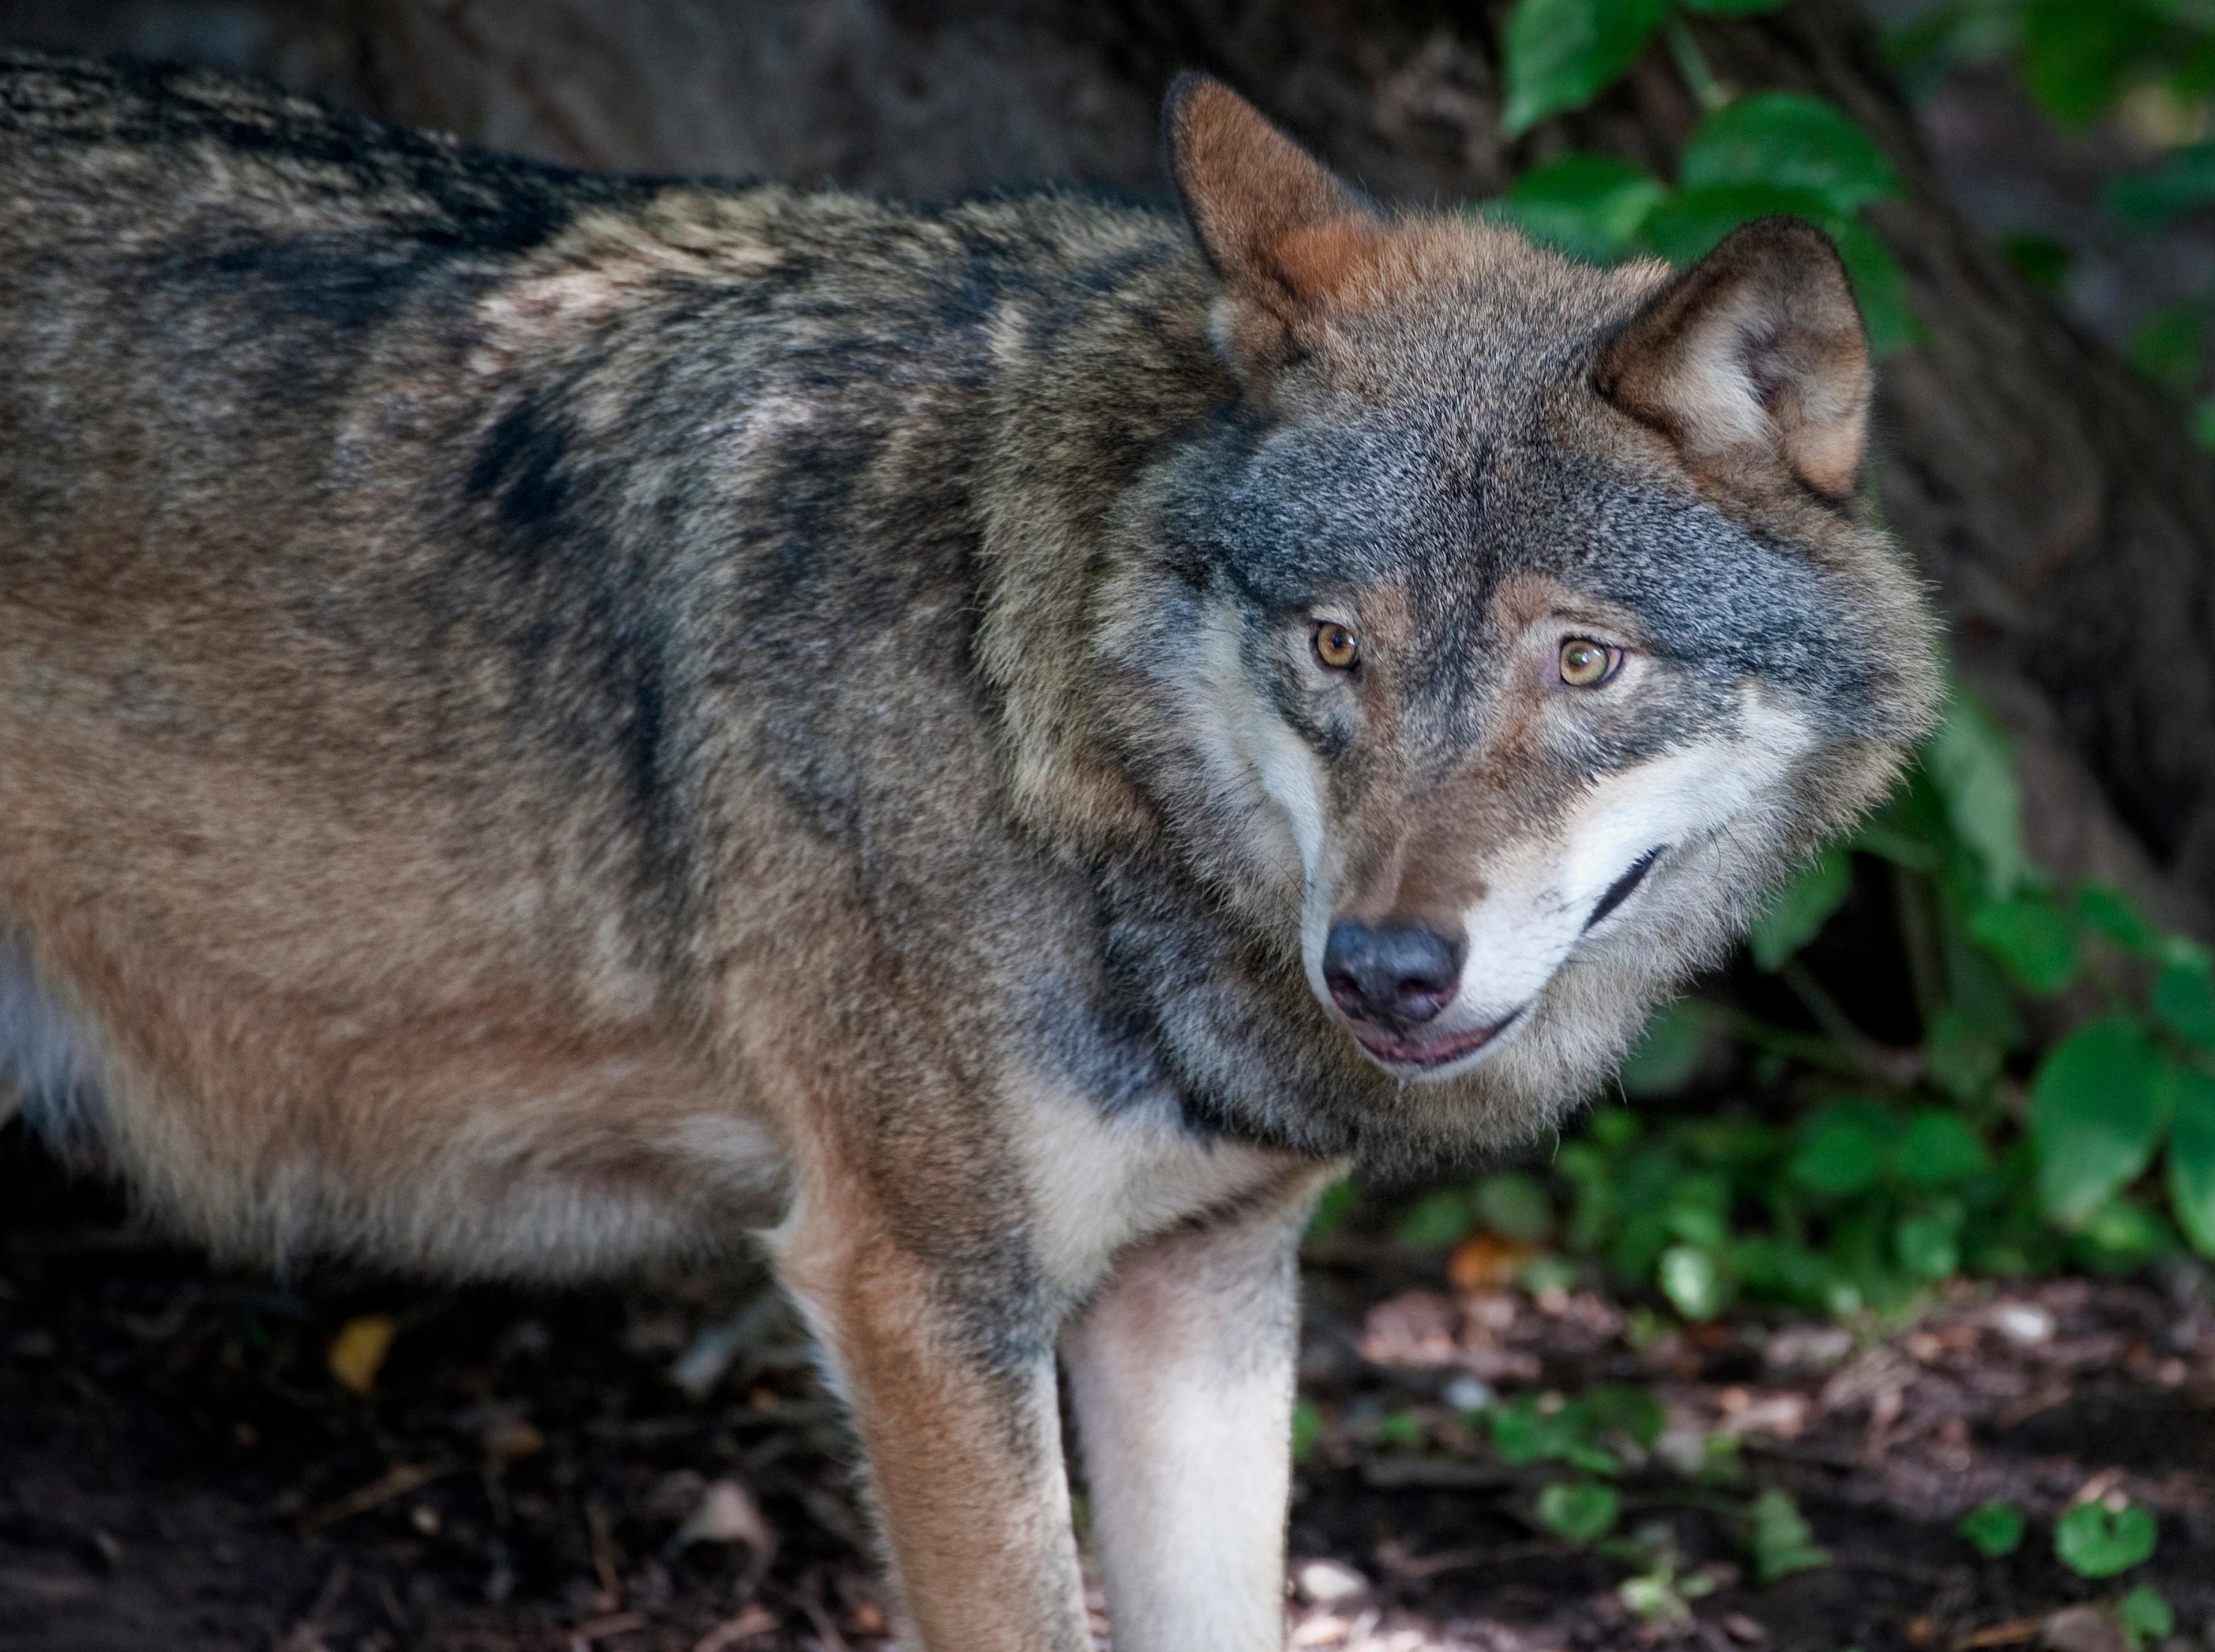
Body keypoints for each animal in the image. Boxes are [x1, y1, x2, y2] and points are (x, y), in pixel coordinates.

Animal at [0, 51, 1940, 1647]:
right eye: (1333, 647)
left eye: (1583, 661)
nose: (1384, 972)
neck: (1040, 709)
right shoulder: (920, 1301)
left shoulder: (1199, 1291)